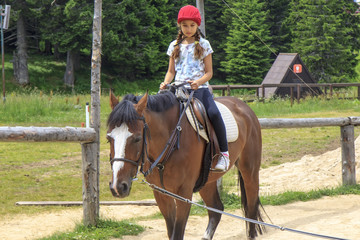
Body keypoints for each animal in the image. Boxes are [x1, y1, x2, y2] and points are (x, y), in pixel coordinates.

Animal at [107, 90, 264, 240]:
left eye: (137, 138)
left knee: (251, 208)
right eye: (109, 138)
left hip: (250, 171)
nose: (118, 187)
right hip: (206, 182)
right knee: (216, 209)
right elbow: (171, 232)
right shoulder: (161, 193)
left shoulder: (184, 194)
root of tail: (244, 106)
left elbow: (177, 233)